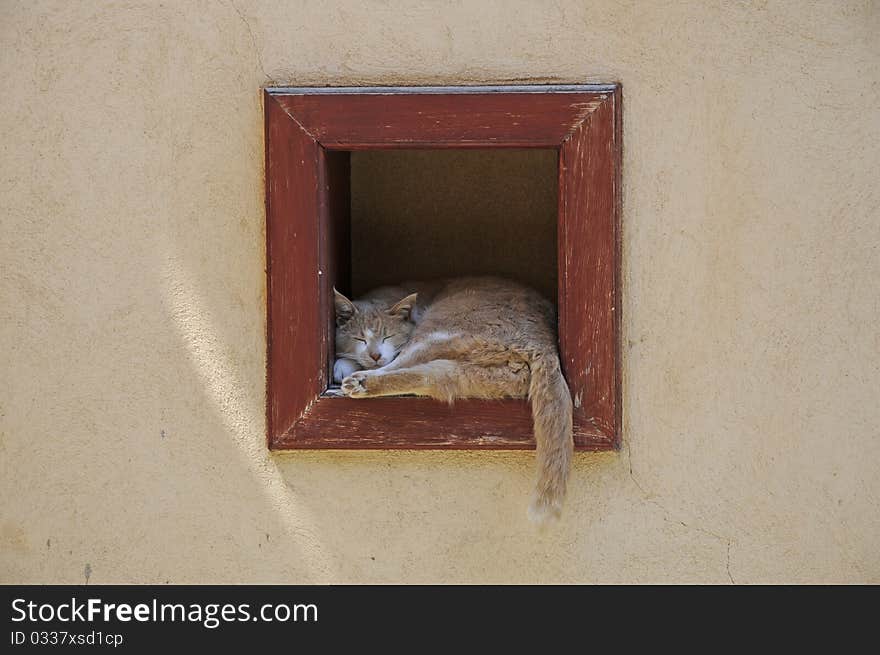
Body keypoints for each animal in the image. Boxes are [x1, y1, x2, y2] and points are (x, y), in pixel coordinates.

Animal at [334, 276, 576, 524]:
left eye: (387, 337)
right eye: (359, 339)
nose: (375, 355)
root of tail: (544, 344)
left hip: (440, 332)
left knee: (403, 364)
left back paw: (358, 382)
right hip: (469, 373)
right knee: (426, 376)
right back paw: (361, 383)